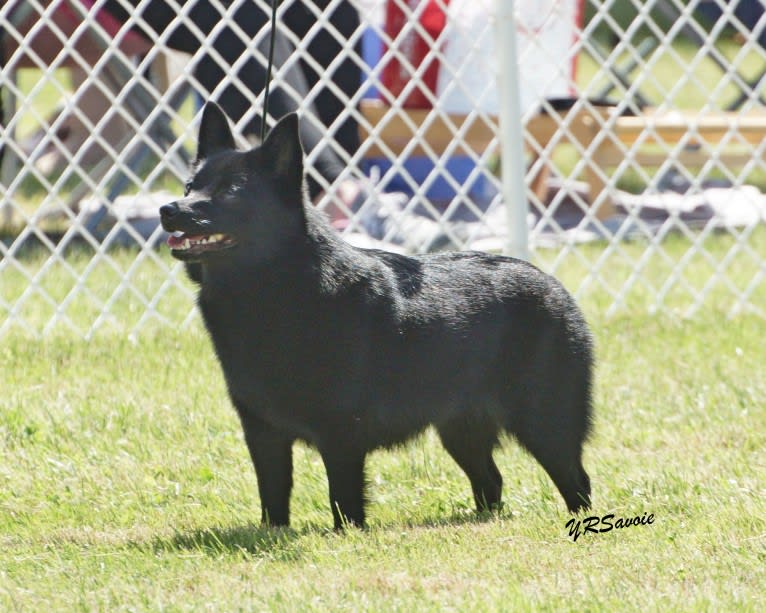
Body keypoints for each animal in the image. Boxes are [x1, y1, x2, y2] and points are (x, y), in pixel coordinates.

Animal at [159, 103, 596, 528]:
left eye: (230, 192)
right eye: (190, 187)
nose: (168, 209)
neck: (273, 288)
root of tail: (552, 284)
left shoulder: (340, 435)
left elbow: (343, 501)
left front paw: (347, 537)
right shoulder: (263, 434)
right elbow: (273, 499)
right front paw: (274, 534)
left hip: (545, 423)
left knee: (576, 479)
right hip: (461, 430)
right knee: (492, 480)